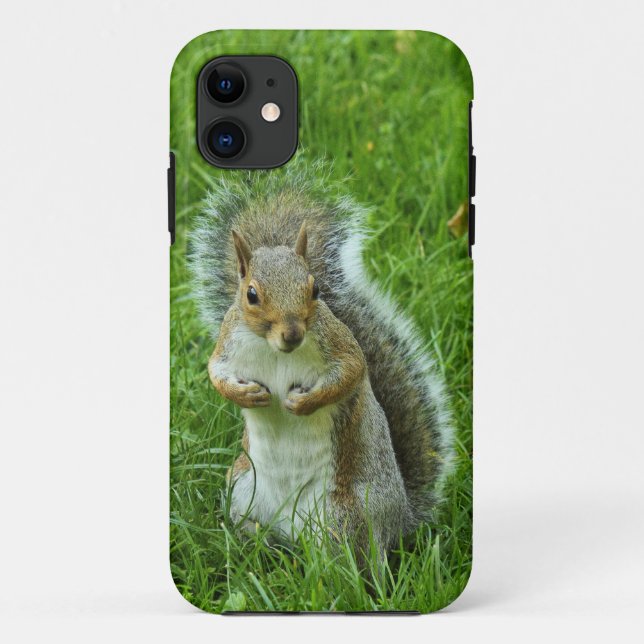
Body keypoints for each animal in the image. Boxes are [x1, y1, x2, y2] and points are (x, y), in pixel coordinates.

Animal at [190, 161, 453, 556]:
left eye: (314, 289)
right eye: (251, 294)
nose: (292, 334)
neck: (274, 349)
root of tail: (401, 519)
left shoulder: (339, 344)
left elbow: (352, 371)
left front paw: (303, 402)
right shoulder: (227, 344)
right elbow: (216, 373)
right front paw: (246, 395)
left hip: (346, 516)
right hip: (241, 487)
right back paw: (253, 543)